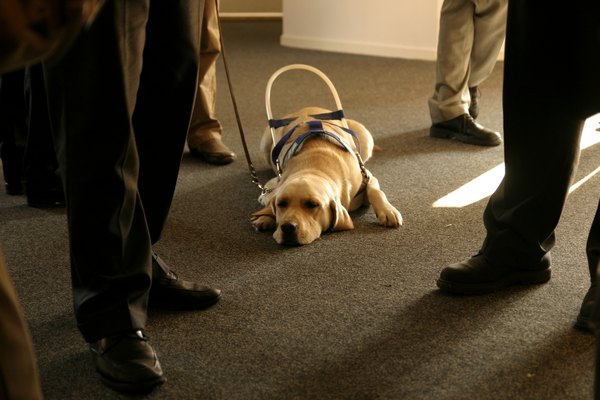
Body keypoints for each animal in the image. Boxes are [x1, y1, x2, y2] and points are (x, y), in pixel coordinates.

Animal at [250, 105, 404, 244]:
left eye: (312, 205)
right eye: (282, 204)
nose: (288, 227)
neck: (315, 167)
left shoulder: (366, 175)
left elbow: (375, 191)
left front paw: (387, 211)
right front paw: (265, 216)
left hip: (365, 136)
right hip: (266, 143)